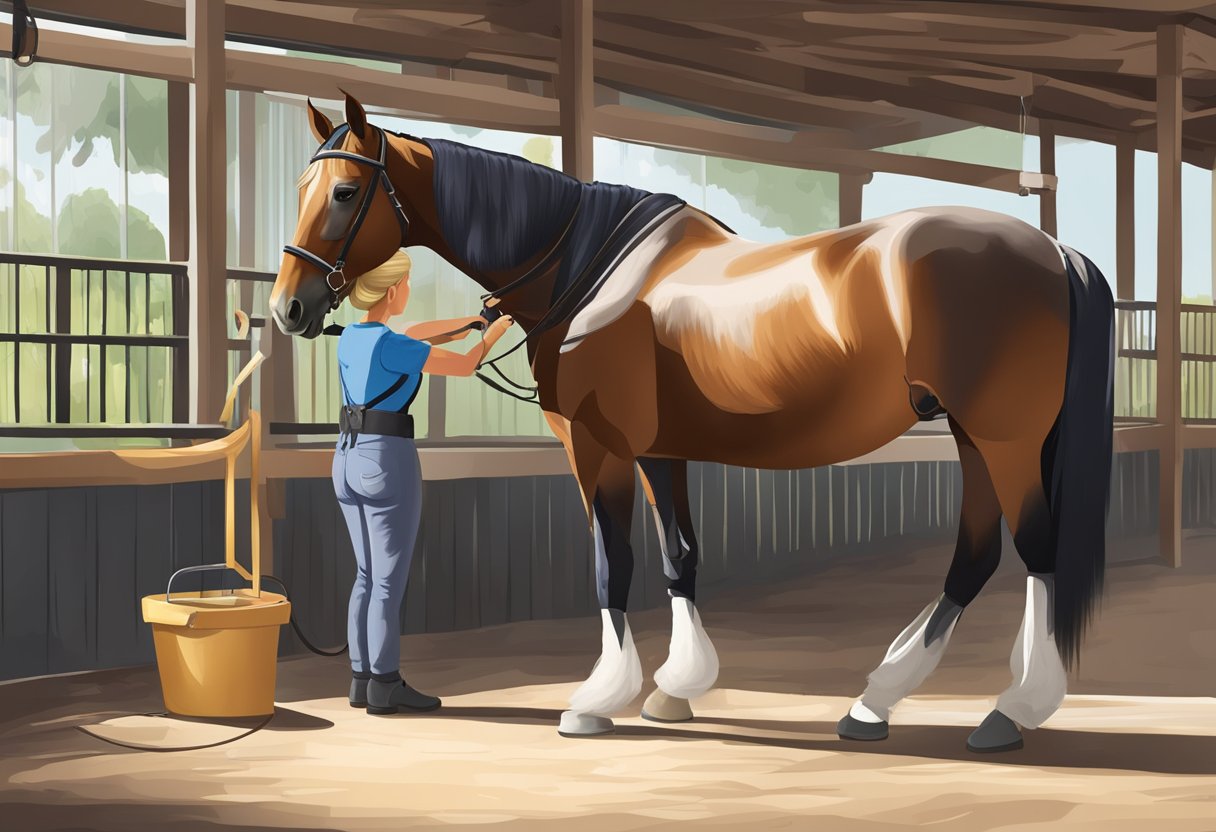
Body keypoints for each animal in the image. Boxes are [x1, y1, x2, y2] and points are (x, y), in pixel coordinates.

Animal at [273, 92, 1113, 754]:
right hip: (974, 436)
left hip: (1004, 436)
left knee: (1034, 549)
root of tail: (1050, 248)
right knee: (974, 555)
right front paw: (676, 688)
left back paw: (1011, 710)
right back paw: (876, 701)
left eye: (344, 191)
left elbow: (612, 563)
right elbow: (680, 556)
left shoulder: (597, 447)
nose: (290, 307)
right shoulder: (661, 452)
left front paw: (596, 700)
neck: (592, 267)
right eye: (302, 185)